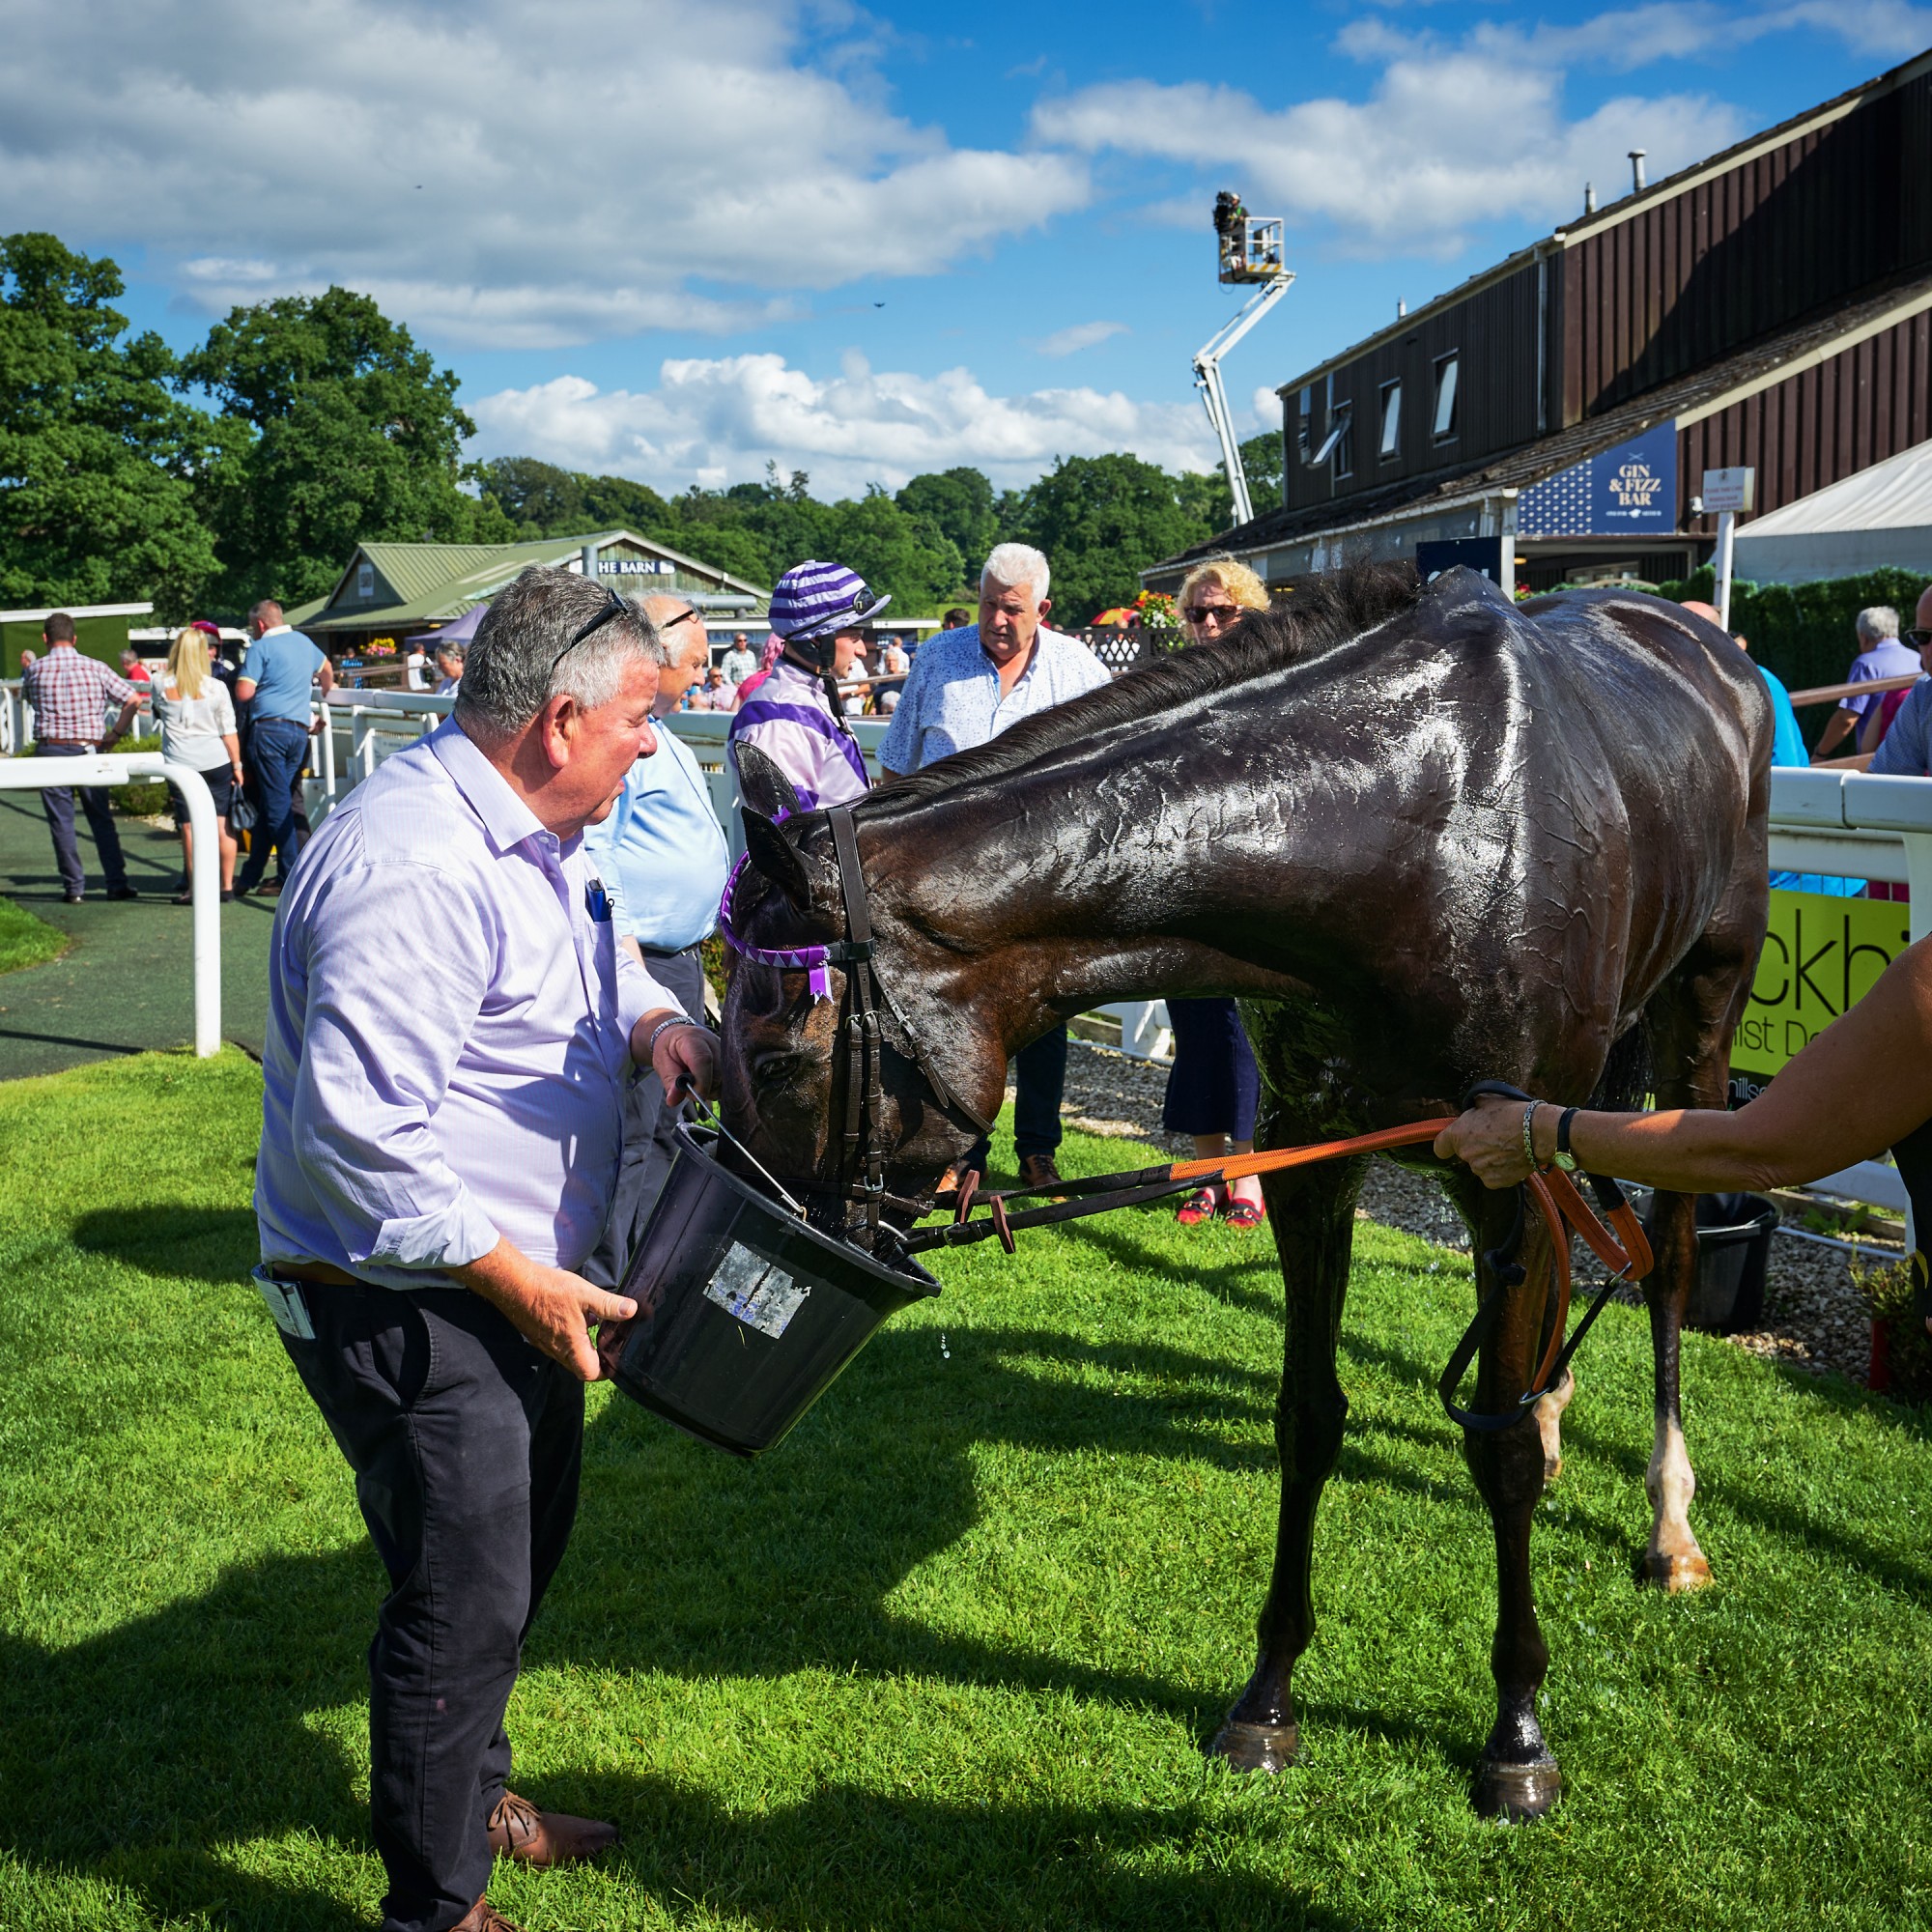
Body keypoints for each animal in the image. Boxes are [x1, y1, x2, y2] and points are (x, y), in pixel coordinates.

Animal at [723, 564, 1770, 1816]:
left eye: (774, 1060)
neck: (1408, 828)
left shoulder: (1504, 1176)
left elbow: (1499, 1454)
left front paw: (1516, 1728)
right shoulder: (1311, 1156)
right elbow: (1308, 1417)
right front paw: (1267, 1698)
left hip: (1702, 1011)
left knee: (1666, 1253)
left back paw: (1669, 1518)